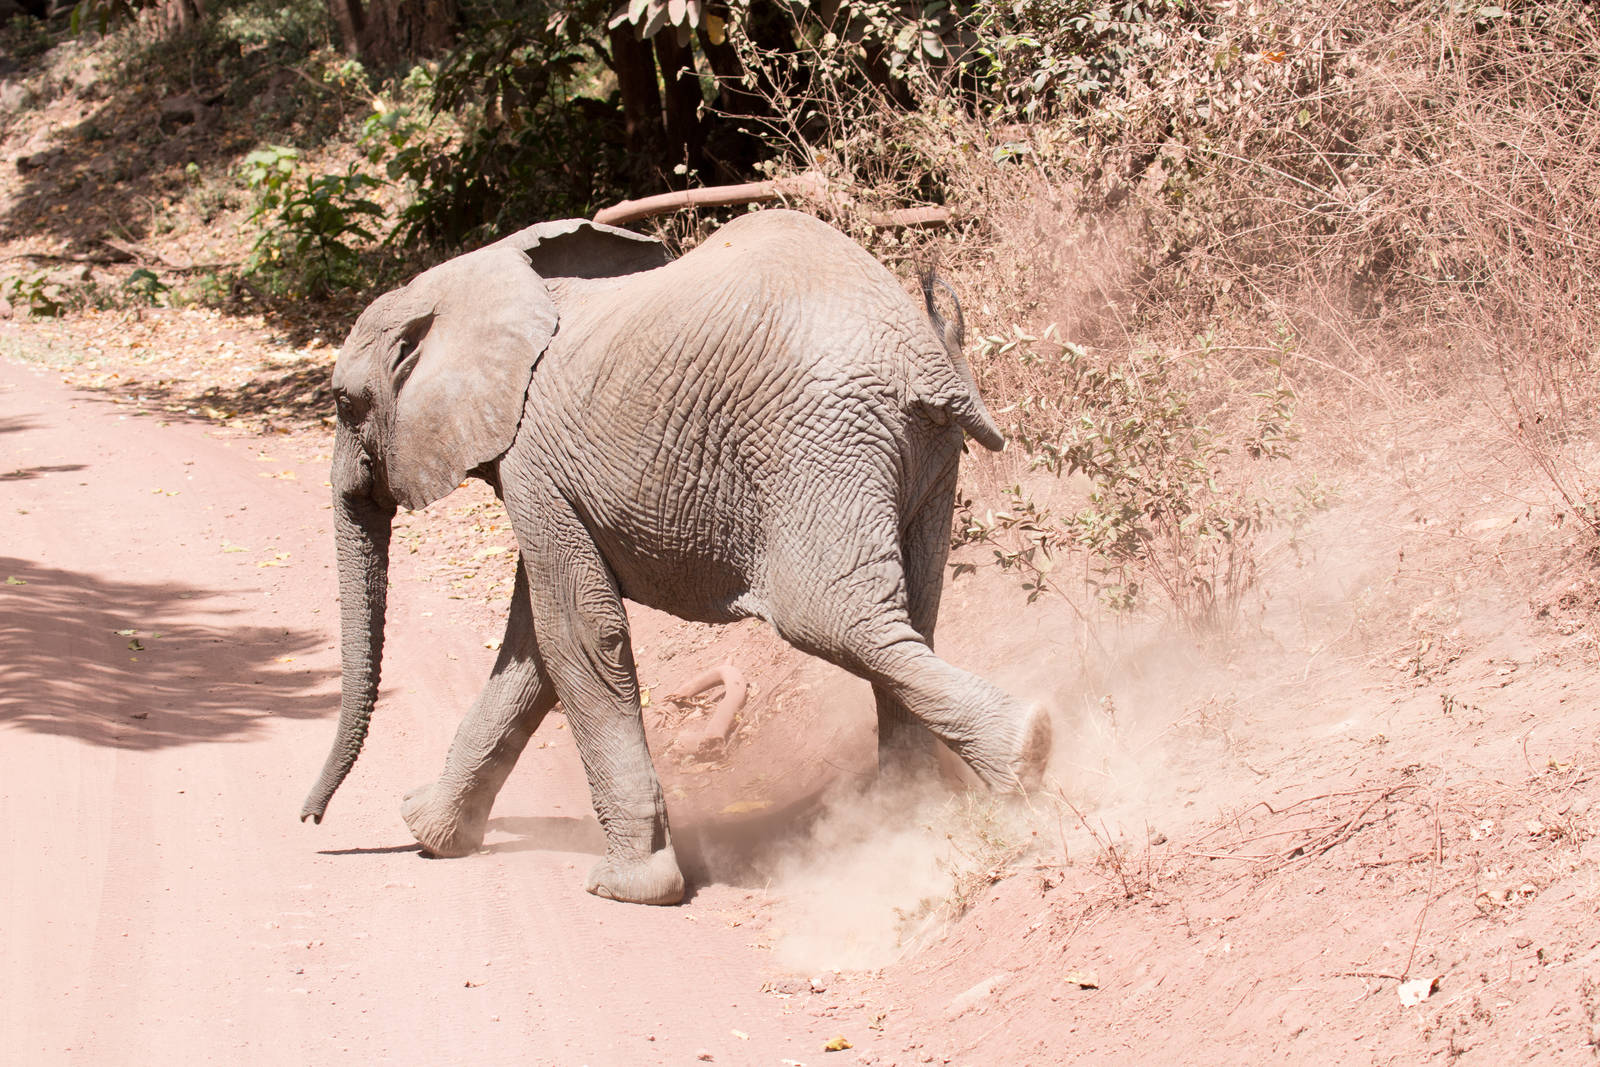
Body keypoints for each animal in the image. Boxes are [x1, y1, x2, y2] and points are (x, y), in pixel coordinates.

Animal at [301, 209, 1052, 905]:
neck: (468, 282)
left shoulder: (533, 462)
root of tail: (925, 356)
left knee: (837, 620)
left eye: (344, 401)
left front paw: (627, 887)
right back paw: (911, 811)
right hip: (922, 456)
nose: (310, 822)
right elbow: (533, 650)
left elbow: (573, 634)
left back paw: (1026, 748)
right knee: (914, 613)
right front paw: (428, 832)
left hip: (820, 442)